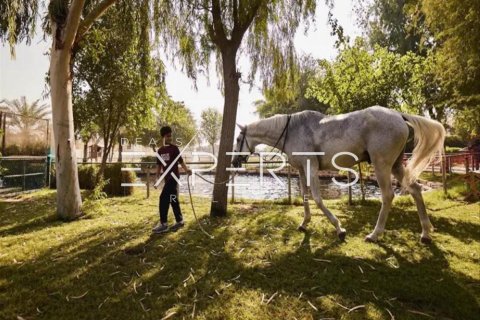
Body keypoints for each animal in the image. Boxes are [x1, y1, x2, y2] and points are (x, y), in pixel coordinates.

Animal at [232, 105, 446, 242]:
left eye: (238, 139)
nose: (234, 161)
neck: (291, 131)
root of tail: (398, 115)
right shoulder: (301, 169)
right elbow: (305, 196)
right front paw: (304, 223)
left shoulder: (311, 167)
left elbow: (317, 199)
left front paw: (339, 228)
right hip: (395, 166)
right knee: (416, 190)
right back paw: (425, 233)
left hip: (382, 165)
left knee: (388, 196)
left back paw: (375, 234)